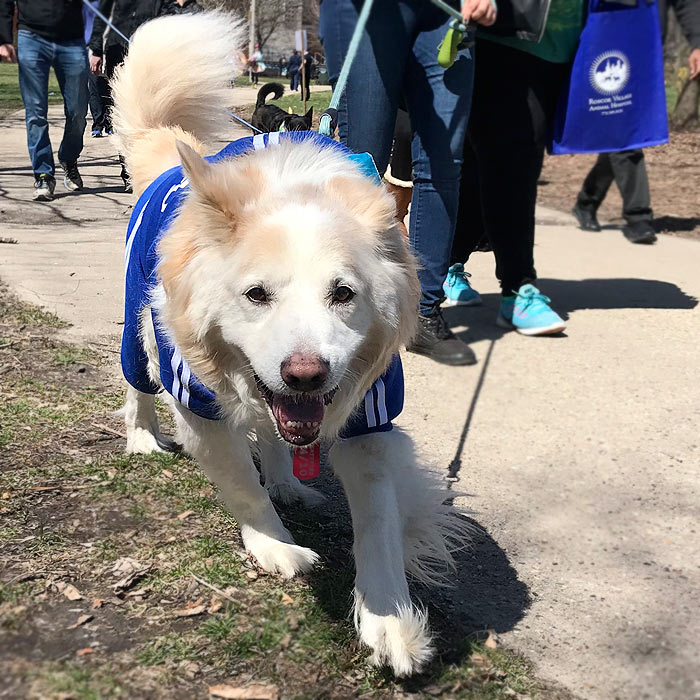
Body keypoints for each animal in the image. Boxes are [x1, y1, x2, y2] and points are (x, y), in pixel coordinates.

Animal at [112, 12, 464, 680]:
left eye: (344, 293)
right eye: (256, 294)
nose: (305, 374)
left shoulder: (369, 417)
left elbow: (378, 526)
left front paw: (388, 619)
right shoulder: (198, 404)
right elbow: (240, 486)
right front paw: (275, 547)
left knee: (275, 435)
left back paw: (288, 478)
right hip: (139, 336)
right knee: (137, 385)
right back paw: (143, 435)